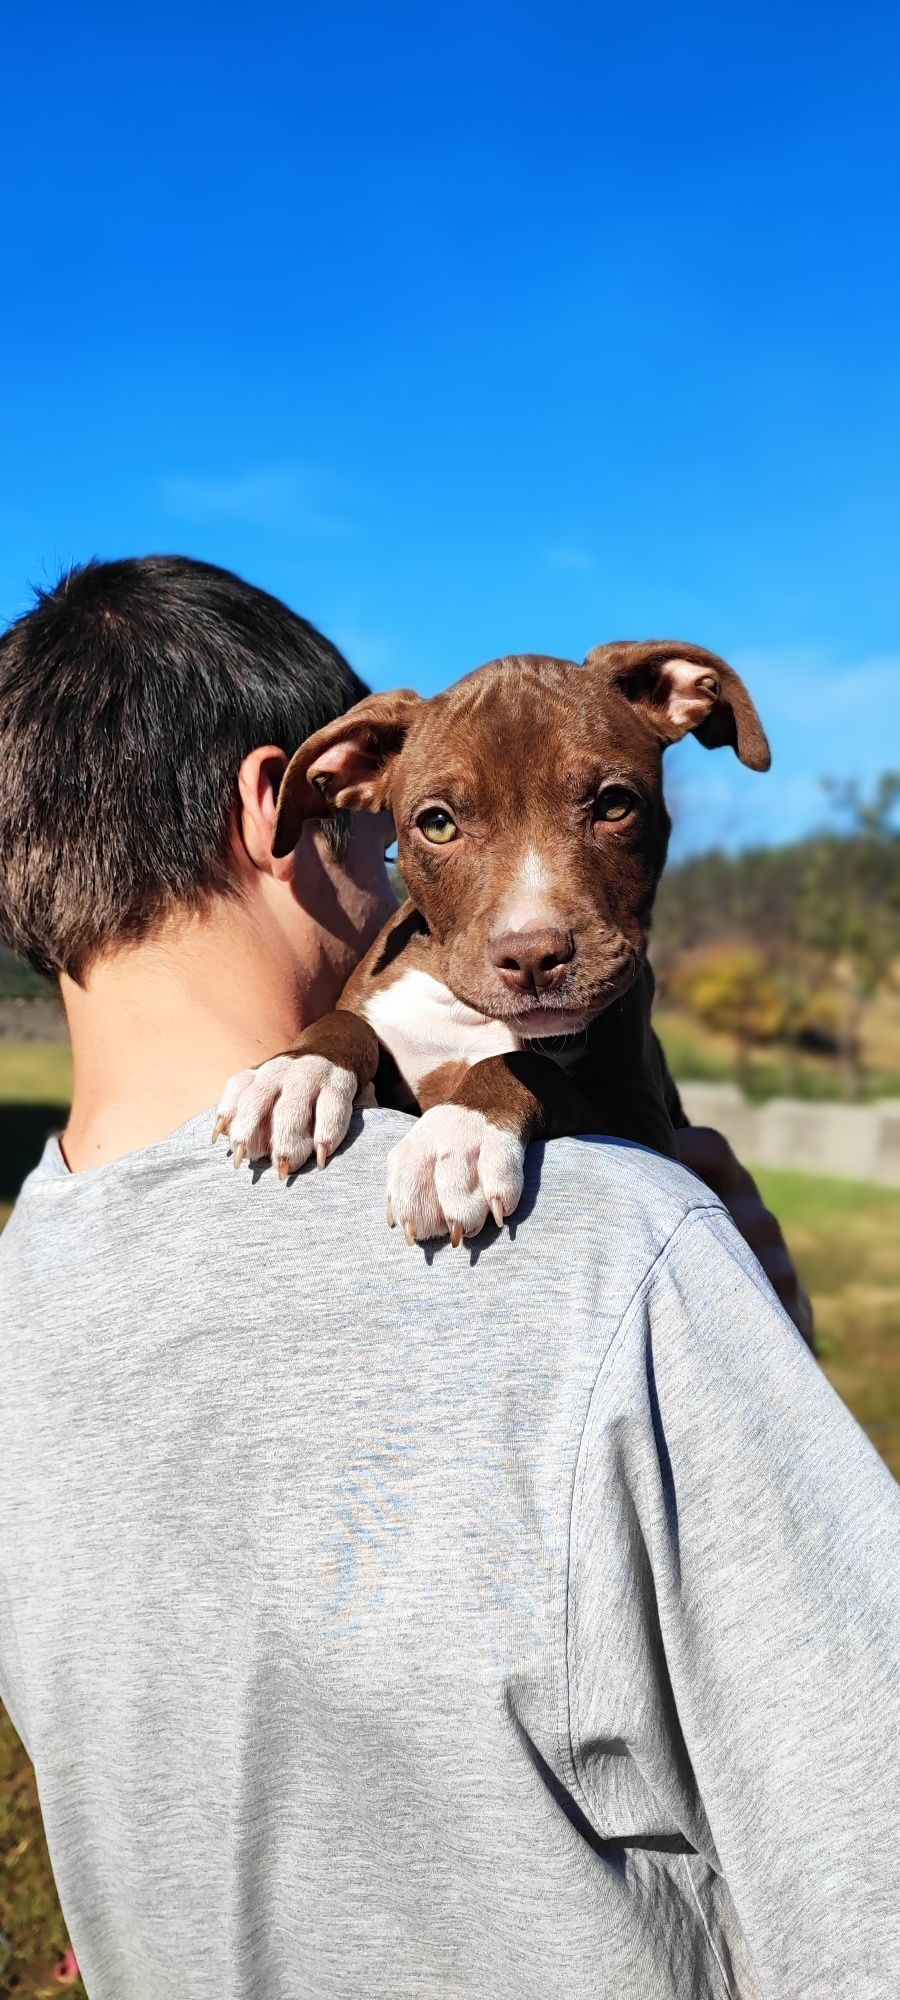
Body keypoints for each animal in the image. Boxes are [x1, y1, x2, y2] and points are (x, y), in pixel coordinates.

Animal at [214, 644, 768, 1232]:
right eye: (438, 824)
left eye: (615, 804)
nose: (533, 958)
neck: (471, 1017)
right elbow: (345, 1020)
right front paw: (294, 1075)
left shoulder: (645, 1126)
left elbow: (525, 1064)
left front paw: (455, 1138)